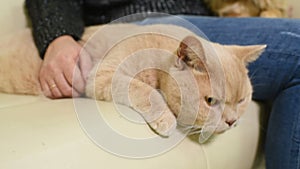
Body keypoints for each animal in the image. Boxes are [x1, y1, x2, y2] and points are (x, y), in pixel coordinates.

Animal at [0, 24, 266, 137]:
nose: (232, 121)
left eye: (242, 100)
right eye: (210, 101)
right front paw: (166, 119)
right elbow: (147, 91)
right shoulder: (103, 75)